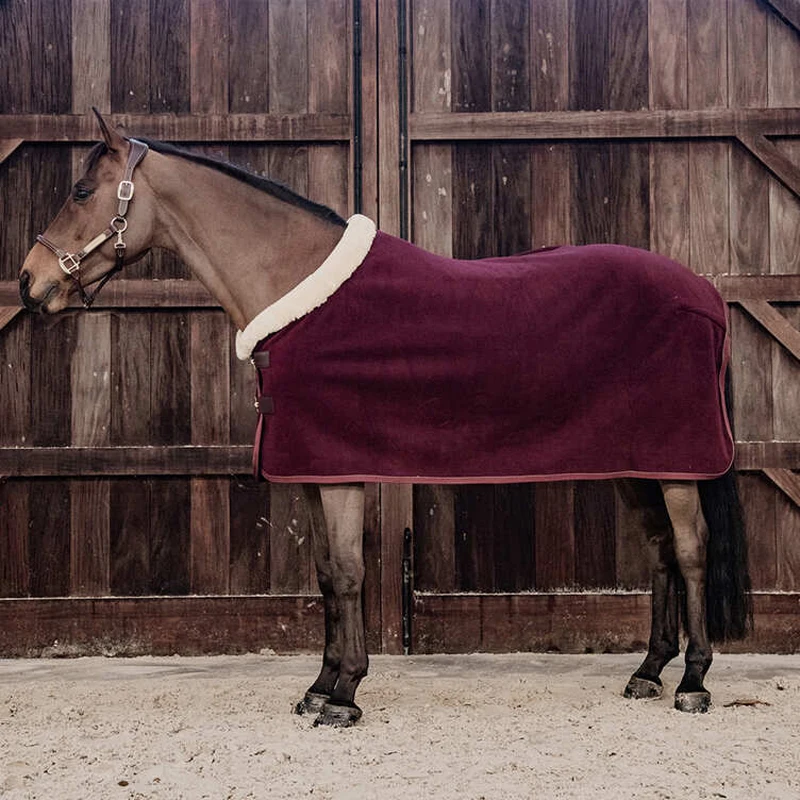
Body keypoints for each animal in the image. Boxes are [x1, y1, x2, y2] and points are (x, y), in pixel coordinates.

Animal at [19, 110, 752, 727]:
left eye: (81, 191)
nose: (29, 284)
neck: (299, 288)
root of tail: (704, 293)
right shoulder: (313, 473)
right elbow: (324, 575)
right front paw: (318, 688)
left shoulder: (341, 472)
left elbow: (348, 574)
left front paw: (344, 695)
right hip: (637, 460)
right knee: (658, 550)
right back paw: (648, 672)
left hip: (676, 462)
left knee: (690, 550)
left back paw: (693, 683)